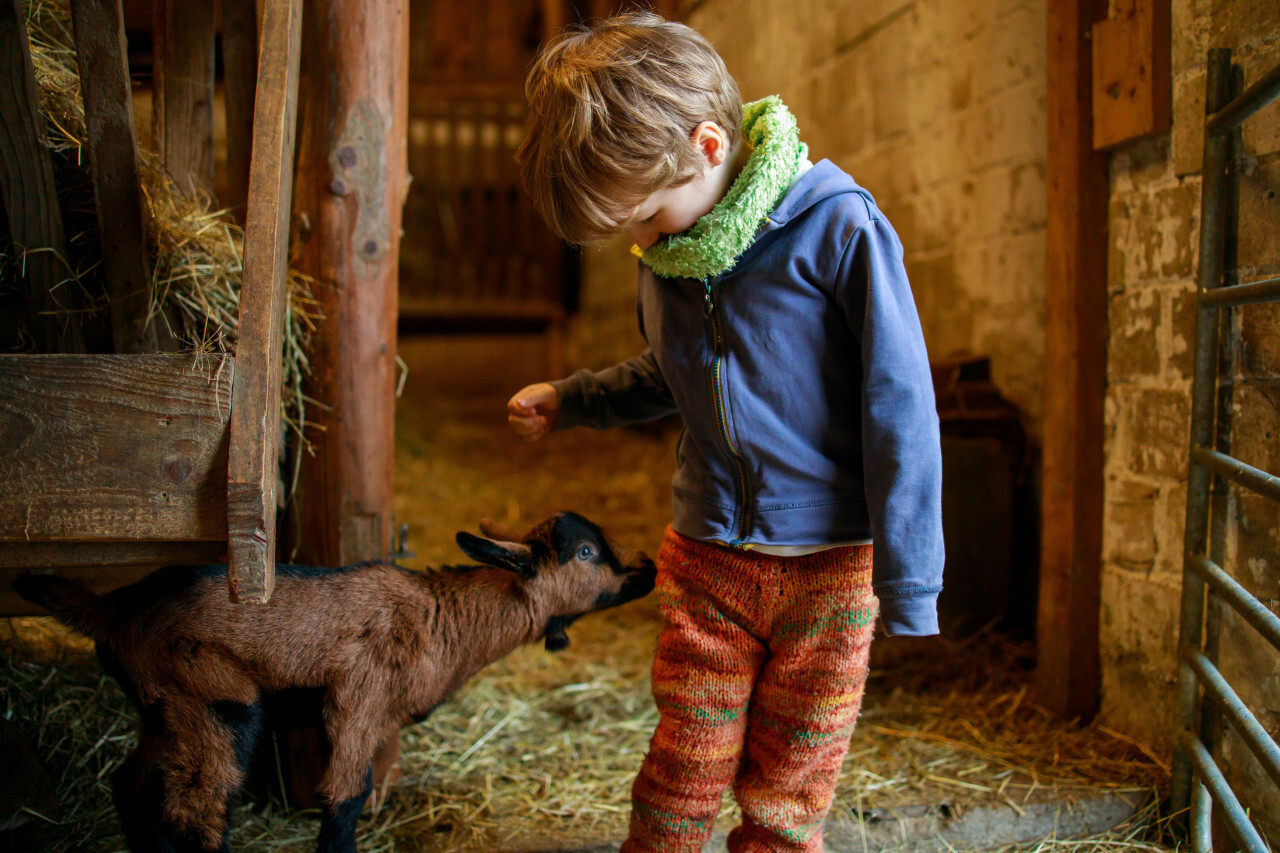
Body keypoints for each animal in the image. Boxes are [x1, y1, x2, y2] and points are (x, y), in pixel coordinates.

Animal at [17, 512, 660, 850]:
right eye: (585, 552)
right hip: (212, 696)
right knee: (197, 810)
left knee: (128, 785)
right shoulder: (357, 701)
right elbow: (345, 800)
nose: (647, 569)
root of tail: (114, 611)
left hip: (163, 705)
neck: (441, 615)